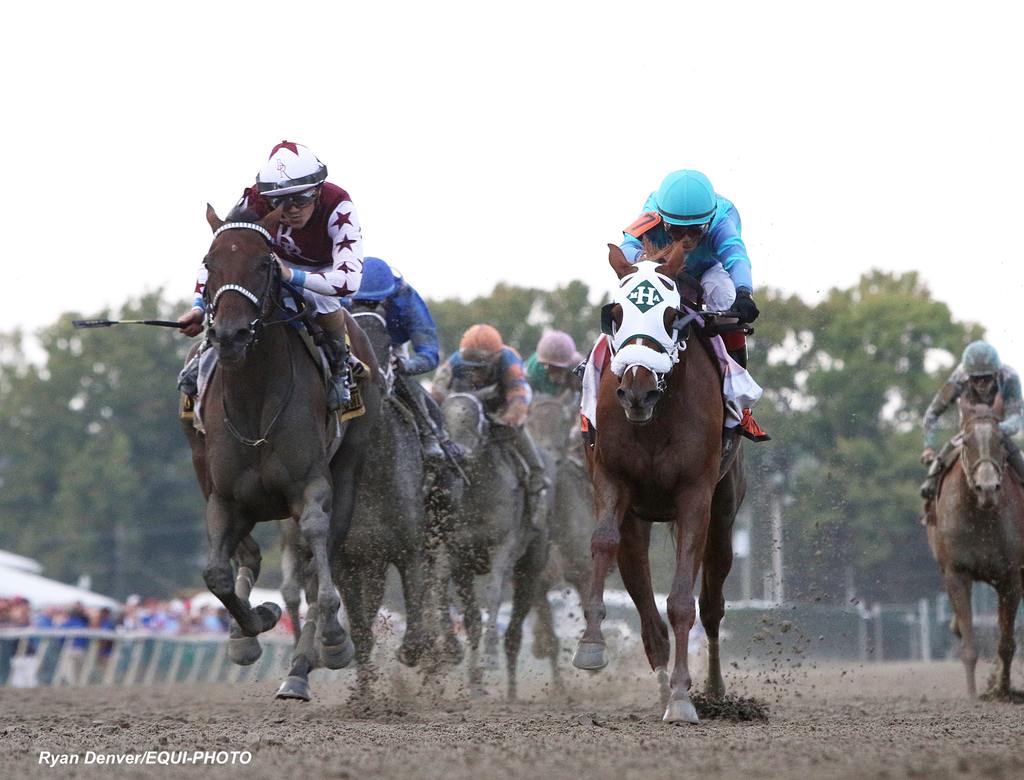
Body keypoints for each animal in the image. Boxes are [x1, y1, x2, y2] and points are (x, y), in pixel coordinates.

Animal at [442, 391, 548, 696]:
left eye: (478, 422)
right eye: (444, 417)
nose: (458, 452)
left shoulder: (502, 547)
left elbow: (493, 594)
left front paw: (489, 656)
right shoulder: (459, 557)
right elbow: (471, 618)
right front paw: (473, 679)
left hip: (531, 567)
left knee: (514, 631)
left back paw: (511, 691)